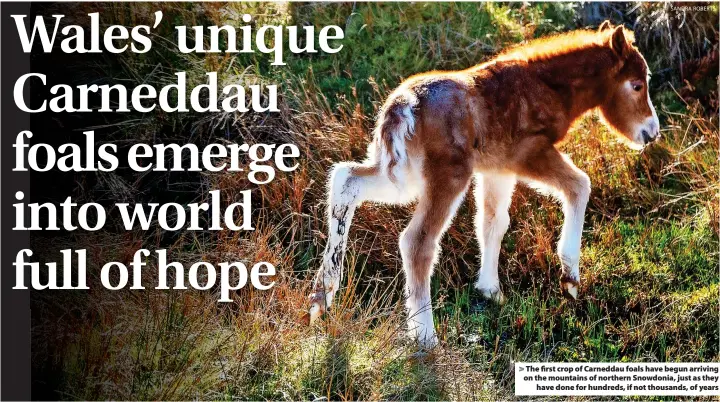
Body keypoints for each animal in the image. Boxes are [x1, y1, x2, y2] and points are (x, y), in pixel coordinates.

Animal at [308, 23, 660, 348]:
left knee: (346, 179)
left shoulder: (497, 169)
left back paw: (322, 295)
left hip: (400, 175)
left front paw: (490, 290)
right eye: (637, 85)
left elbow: (493, 222)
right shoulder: (529, 153)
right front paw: (569, 279)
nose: (651, 132)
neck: (549, 86)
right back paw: (426, 338)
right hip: (448, 175)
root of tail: (404, 105)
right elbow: (580, 185)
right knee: (417, 242)